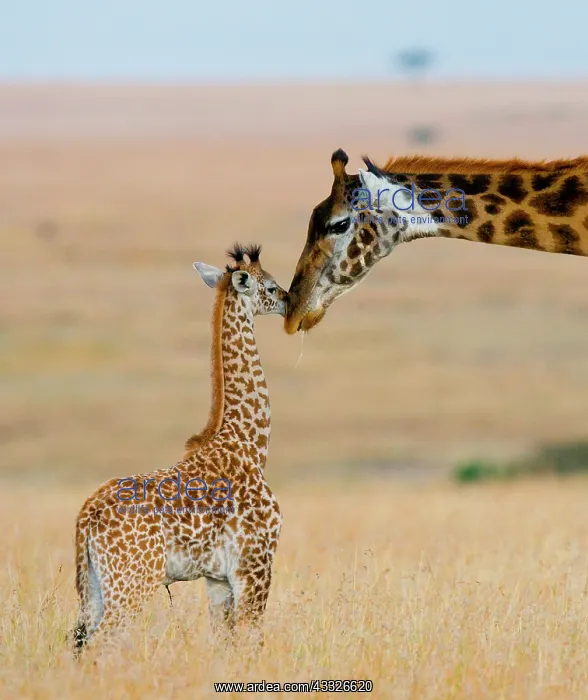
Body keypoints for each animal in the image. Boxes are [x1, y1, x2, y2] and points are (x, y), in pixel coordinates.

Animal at [73, 244, 287, 653]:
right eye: (270, 285)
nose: (289, 300)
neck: (250, 444)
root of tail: (86, 519)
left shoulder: (217, 579)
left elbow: (225, 644)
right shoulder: (255, 564)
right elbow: (253, 640)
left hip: (92, 585)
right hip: (132, 583)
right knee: (101, 645)